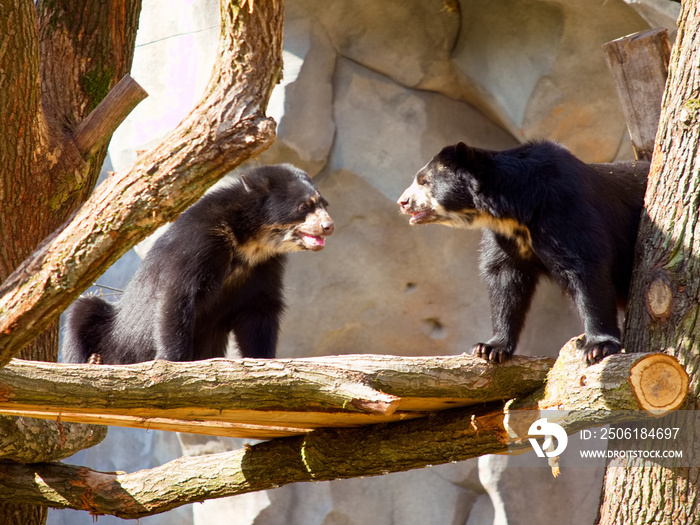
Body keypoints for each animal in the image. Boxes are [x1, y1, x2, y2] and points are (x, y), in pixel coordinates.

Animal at [63, 164, 334, 364]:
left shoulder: (264, 266)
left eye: (324, 204)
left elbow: (259, 309)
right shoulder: (200, 243)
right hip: (115, 336)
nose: (328, 226)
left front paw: (263, 358)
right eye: (304, 206)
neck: (248, 242)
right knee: (83, 311)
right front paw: (172, 360)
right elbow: (178, 295)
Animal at [396, 141, 648, 366]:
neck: (517, 212)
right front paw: (489, 348)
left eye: (425, 181)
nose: (403, 202)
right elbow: (504, 280)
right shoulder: (505, 237)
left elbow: (586, 268)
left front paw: (597, 347)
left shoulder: (565, 211)